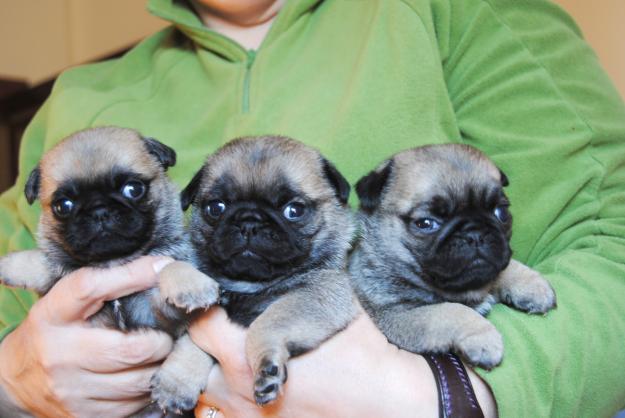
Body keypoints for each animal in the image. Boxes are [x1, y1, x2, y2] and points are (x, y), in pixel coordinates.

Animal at [0, 127, 219, 418]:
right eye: (63, 206)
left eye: (133, 189)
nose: (99, 210)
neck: (115, 262)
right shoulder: (61, 279)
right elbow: (47, 261)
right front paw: (12, 265)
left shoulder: (161, 311)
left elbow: (171, 266)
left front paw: (191, 285)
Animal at [177, 136, 356, 406]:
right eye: (216, 207)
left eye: (294, 211)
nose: (249, 222)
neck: (249, 284)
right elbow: (188, 342)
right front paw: (175, 380)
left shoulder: (319, 294)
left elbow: (267, 323)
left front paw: (266, 365)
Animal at [352, 144, 556, 370]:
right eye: (426, 223)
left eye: (501, 212)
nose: (475, 234)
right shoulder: (398, 314)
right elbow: (452, 311)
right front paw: (483, 337)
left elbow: (506, 267)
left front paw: (532, 285)